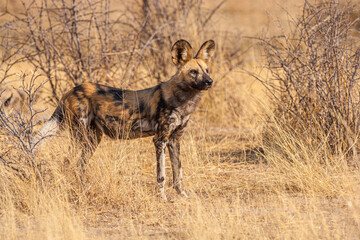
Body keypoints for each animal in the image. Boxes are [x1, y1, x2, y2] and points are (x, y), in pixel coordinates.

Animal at [33, 39, 215, 200]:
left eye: (207, 70)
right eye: (193, 72)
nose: (209, 81)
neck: (183, 100)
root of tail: (71, 90)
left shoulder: (174, 140)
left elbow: (178, 173)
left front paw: (183, 195)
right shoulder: (160, 140)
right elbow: (162, 175)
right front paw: (162, 197)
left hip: (92, 140)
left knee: (79, 166)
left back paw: (82, 188)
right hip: (80, 138)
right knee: (67, 163)